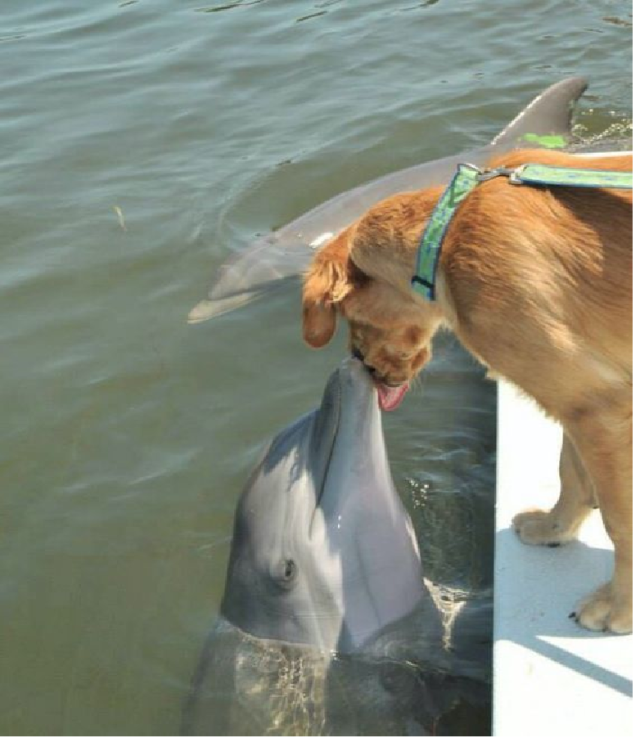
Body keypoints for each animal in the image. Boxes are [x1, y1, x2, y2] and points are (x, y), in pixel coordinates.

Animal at [302, 150, 632, 632]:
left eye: (350, 317)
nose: (364, 365)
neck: (447, 235)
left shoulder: (601, 409)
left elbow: (620, 520)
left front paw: (619, 607)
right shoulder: (580, 398)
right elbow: (570, 472)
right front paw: (553, 530)